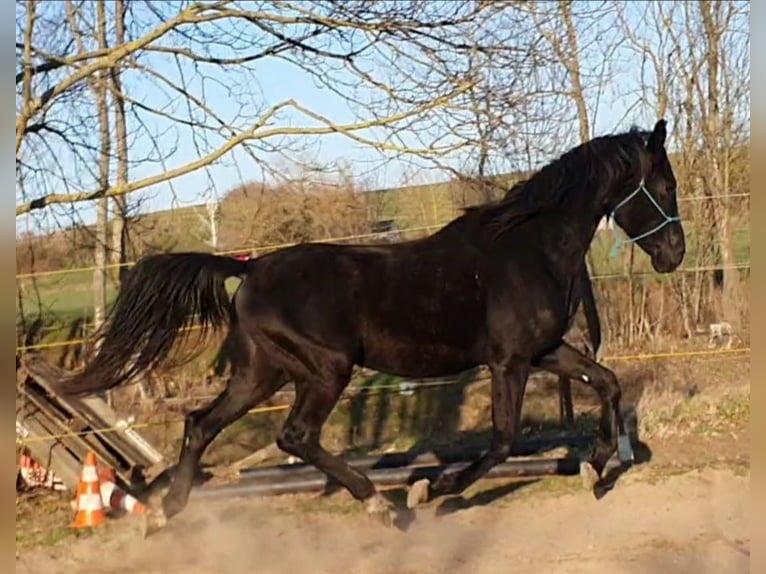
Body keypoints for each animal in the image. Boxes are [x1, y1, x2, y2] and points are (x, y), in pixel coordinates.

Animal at [58, 120, 684, 536]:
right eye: (665, 186)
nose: (674, 253)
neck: (529, 247)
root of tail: (250, 267)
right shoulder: (508, 361)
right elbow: (504, 439)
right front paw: (434, 490)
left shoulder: (545, 350)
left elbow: (607, 383)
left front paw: (595, 467)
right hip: (325, 369)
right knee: (294, 436)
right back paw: (381, 505)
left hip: (262, 372)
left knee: (200, 424)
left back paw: (166, 513)